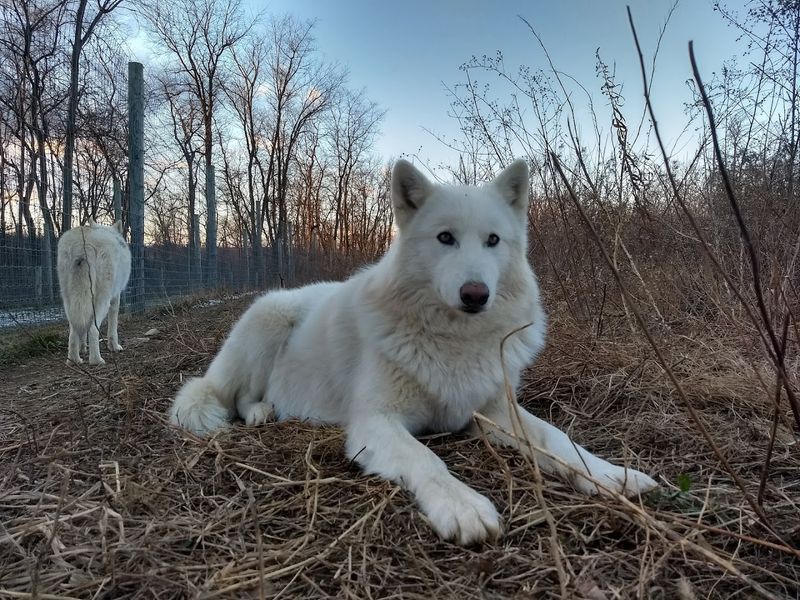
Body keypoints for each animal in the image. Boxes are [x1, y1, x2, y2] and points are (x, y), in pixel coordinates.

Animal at [56, 219, 131, 366]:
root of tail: (83, 242)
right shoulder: (115, 298)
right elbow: (113, 328)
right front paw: (115, 347)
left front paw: (83, 348)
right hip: (103, 300)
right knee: (93, 330)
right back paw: (96, 360)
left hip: (68, 301)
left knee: (73, 331)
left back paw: (74, 360)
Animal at [170, 159, 658, 544]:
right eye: (445, 238)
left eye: (493, 241)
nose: (475, 294)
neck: (455, 340)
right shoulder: (376, 423)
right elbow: (429, 459)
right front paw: (463, 506)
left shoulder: (495, 411)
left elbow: (559, 439)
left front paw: (612, 475)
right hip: (267, 322)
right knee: (232, 395)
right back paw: (260, 412)